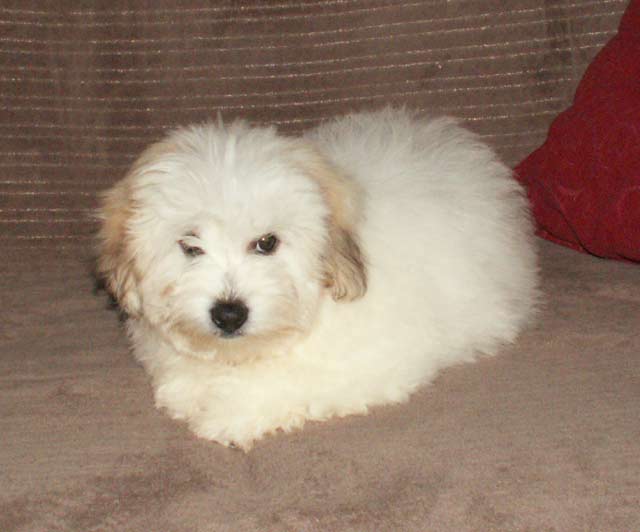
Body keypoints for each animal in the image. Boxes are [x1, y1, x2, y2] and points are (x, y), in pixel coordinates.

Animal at [96, 107, 538, 450]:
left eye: (267, 243)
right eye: (190, 246)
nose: (229, 314)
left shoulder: (366, 362)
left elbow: (283, 383)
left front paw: (229, 414)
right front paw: (189, 392)